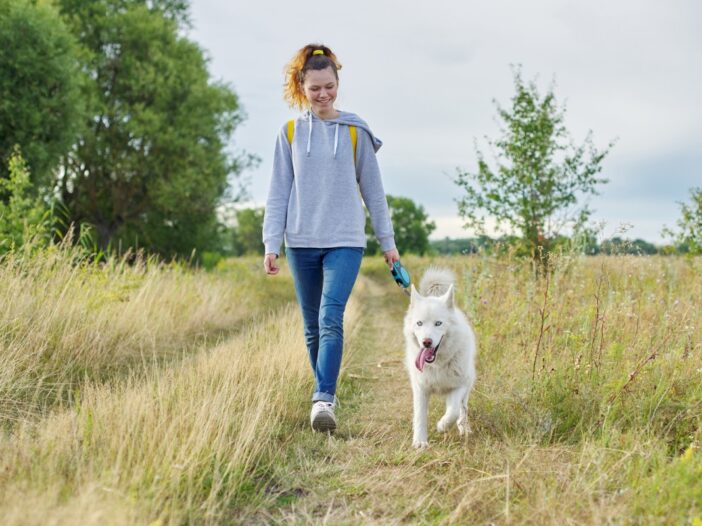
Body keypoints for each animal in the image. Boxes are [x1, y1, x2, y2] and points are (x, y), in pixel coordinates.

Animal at [402, 268, 478, 450]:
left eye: (438, 323)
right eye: (419, 323)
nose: (426, 342)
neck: (437, 365)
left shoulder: (458, 386)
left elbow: (453, 411)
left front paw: (442, 426)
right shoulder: (420, 389)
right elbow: (420, 416)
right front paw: (420, 442)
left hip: (468, 383)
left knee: (463, 409)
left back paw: (464, 428)